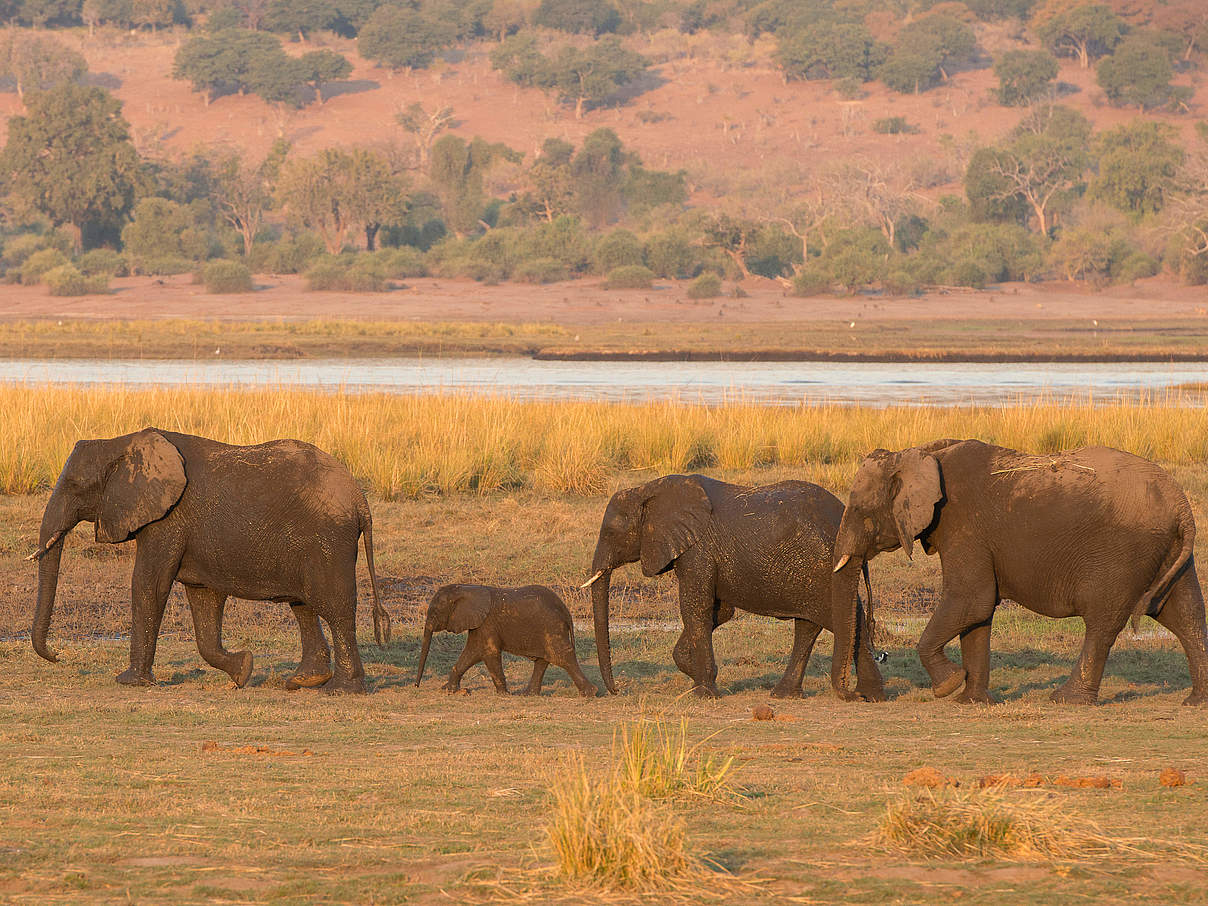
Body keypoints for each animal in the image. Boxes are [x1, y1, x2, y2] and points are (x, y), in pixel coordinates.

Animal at [30, 427, 391, 695]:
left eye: (75, 486)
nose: (58, 656)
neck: (120, 442)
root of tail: (361, 501)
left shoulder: (167, 520)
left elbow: (149, 584)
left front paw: (130, 682)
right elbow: (203, 599)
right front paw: (243, 670)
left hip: (328, 541)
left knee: (334, 607)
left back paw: (342, 690)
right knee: (303, 605)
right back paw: (303, 681)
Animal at [415, 584, 599, 700]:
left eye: (434, 613)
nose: (416, 686)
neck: (464, 588)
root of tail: (566, 610)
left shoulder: (487, 622)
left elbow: (488, 652)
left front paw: (504, 694)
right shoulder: (480, 623)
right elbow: (471, 653)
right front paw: (448, 690)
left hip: (552, 626)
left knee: (561, 656)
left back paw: (590, 694)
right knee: (544, 659)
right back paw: (528, 695)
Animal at [579, 475, 884, 700]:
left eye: (611, 533)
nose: (616, 691)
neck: (648, 489)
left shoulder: (698, 550)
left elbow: (695, 608)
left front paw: (704, 692)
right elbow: (719, 612)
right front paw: (699, 677)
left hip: (824, 567)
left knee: (837, 619)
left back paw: (861, 695)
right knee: (816, 624)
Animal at [831, 444, 1208, 705]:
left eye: (861, 511)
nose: (857, 697)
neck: (920, 453)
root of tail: (1181, 507)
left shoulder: (964, 525)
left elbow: (972, 600)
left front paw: (947, 686)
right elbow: (978, 614)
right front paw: (972, 701)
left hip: (1123, 552)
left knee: (1103, 622)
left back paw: (1066, 700)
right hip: (1169, 551)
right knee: (1185, 615)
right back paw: (1195, 702)